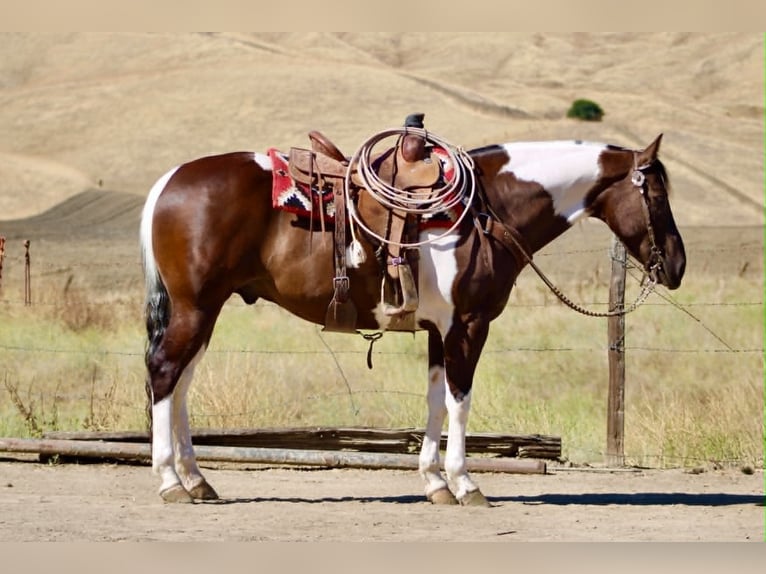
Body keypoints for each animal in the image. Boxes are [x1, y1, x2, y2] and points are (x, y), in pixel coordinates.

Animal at [140, 131, 686, 506]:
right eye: (657, 196)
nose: (677, 266)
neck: (488, 208)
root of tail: (168, 181)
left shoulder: (440, 332)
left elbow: (435, 401)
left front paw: (435, 483)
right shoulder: (469, 326)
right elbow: (460, 403)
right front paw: (466, 484)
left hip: (204, 309)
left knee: (181, 383)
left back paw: (197, 479)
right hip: (196, 307)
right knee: (165, 374)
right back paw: (170, 481)